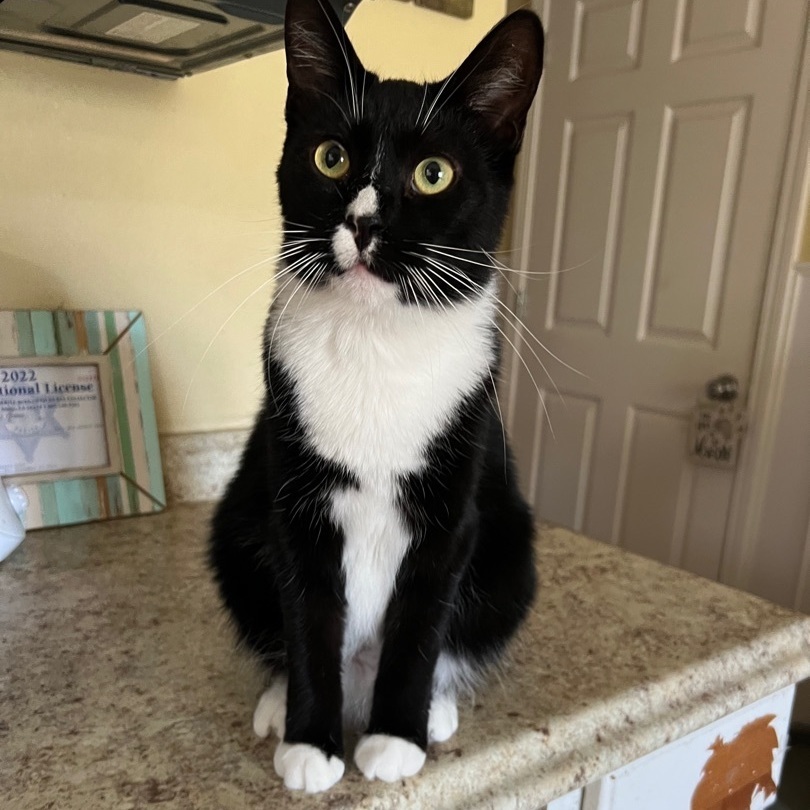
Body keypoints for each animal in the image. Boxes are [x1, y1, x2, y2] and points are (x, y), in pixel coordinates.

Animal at [210, 0, 544, 792]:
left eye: (434, 174)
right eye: (330, 157)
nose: (363, 222)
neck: (377, 345)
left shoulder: (456, 500)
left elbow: (422, 621)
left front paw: (397, 736)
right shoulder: (295, 501)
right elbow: (308, 616)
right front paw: (310, 742)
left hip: (512, 554)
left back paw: (438, 708)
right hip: (235, 528)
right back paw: (278, 701)